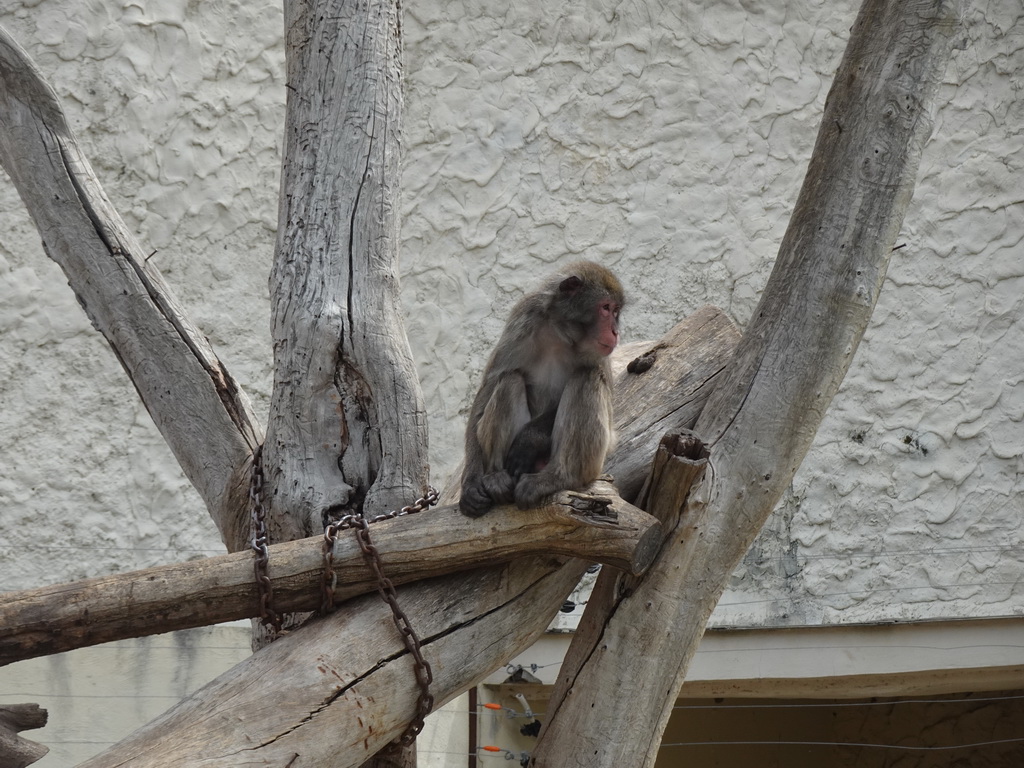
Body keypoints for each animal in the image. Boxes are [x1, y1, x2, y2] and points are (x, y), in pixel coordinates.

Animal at [458, 262, 622, 520]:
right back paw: (495, 477)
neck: (561, 334)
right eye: (606, 308)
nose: (615, 331)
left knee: (587, 377)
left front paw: (529, 440)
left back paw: (559, 477)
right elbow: (488, 389)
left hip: (591, 465)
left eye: (616, 311)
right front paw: (471, 482)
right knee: (509, 380)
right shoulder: (524, 319)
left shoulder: (599, 353)